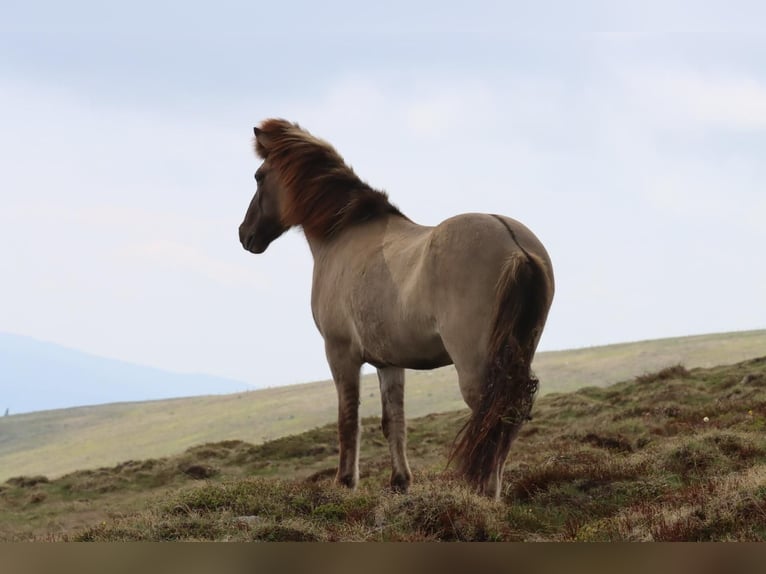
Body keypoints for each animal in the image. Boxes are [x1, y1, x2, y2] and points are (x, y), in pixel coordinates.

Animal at [239, 119, 554, 499]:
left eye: (259, 176)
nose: (245, 234)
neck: (343, 232)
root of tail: (515, 243)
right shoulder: (389, 362)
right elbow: (394, 422)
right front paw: (400, 481)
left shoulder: (340, 353)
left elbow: (348, 421)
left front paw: (345, 482)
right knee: (509, 414)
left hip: (476, 366)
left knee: (493, 413)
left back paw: (482, 492)